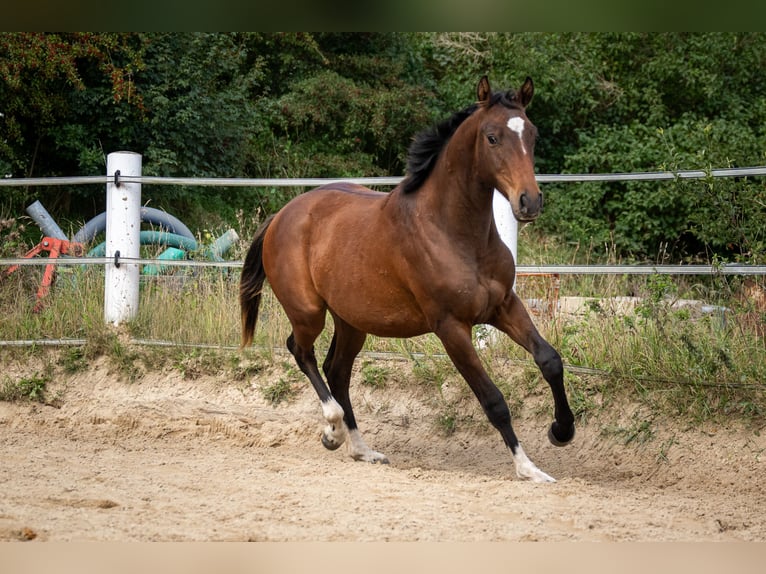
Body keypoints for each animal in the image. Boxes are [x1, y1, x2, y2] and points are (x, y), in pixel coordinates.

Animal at [240, 76, 575, 483]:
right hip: (308, 312)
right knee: (301, 352)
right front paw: (528, 469)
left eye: (533, 134)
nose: (529, 202)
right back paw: (332, 430)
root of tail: (281, 216)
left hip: (352, 320)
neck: (453, 231)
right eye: (492, 137)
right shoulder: (451, 326)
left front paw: (561, 431)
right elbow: (493, 399)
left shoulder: (504, 306)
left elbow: (549, 359)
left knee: (337, 370)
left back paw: (362, 450)